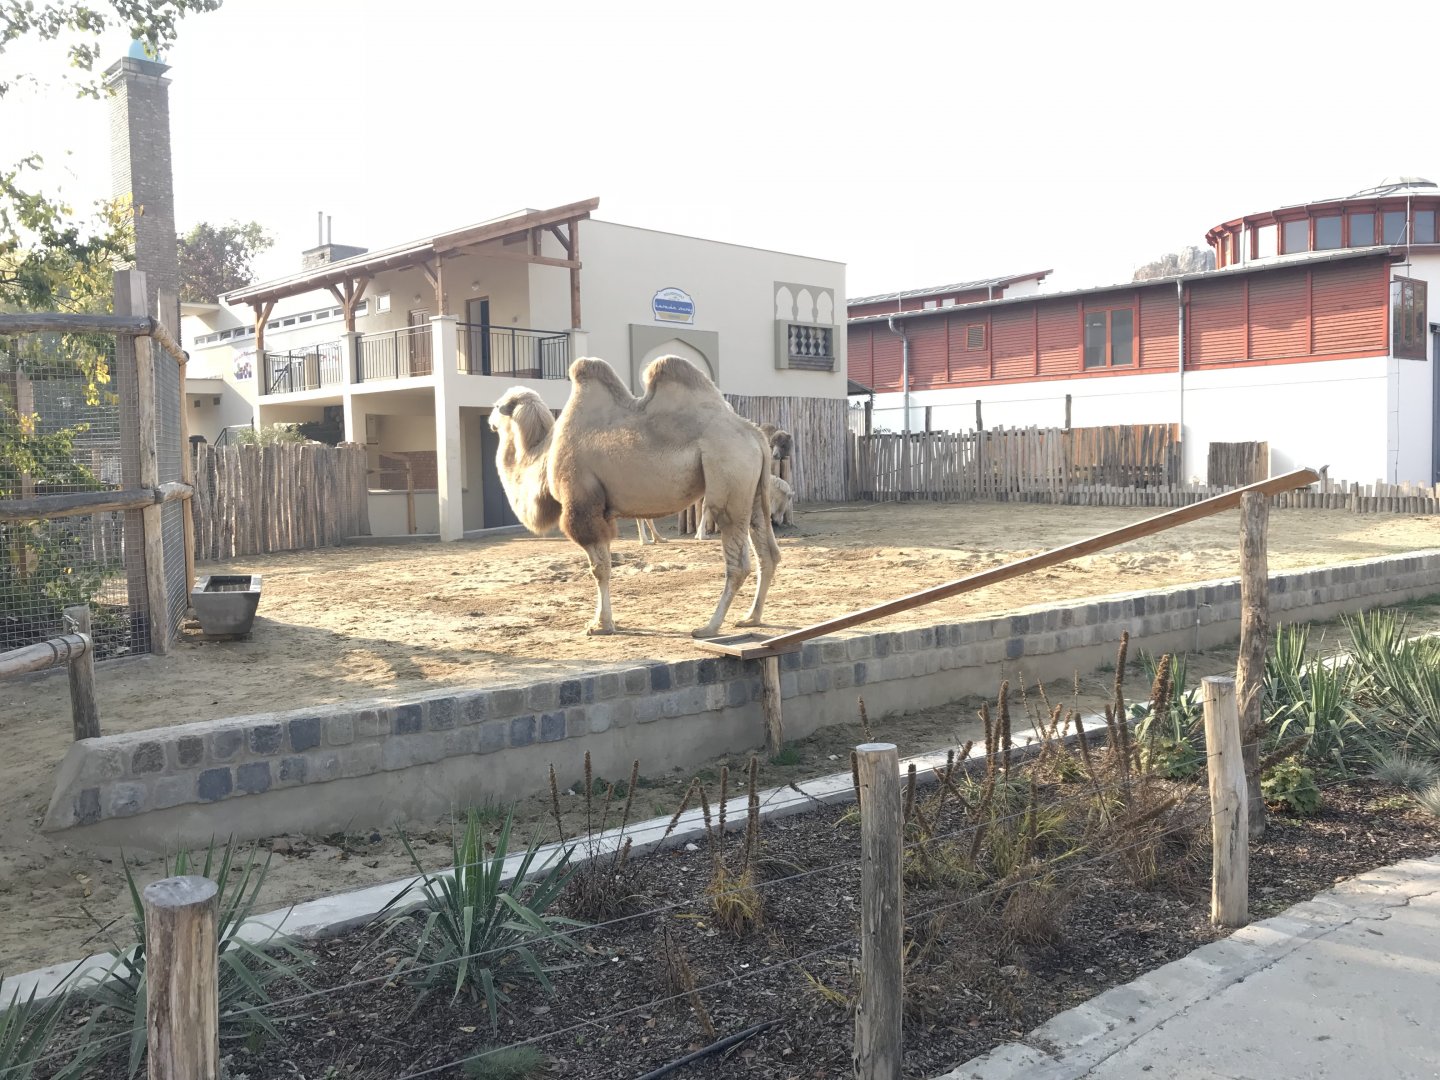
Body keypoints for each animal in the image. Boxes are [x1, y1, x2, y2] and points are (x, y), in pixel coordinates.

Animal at [489, 355, 780, 637]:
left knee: (738, 561)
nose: (490, 420)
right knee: (768, 552)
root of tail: (754, 434)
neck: (545, 455)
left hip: (729, 476)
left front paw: (601, 625)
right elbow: (604, 564)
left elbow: (599, 569)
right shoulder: (601, 510)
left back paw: (709, 627)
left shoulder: (582, 504)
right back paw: (751, 618)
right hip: (754, 493)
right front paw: (603, 621)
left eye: (497, 404)